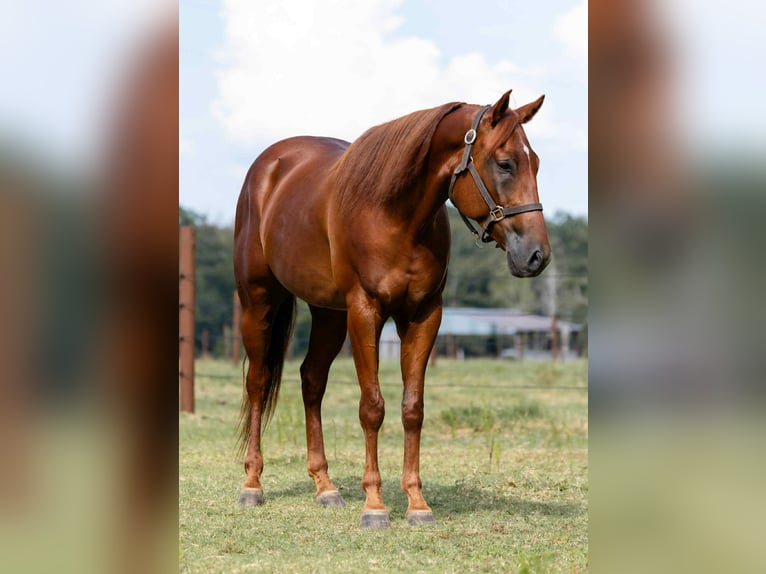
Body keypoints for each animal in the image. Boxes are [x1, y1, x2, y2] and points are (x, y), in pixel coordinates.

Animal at [233, 90, 551, 528]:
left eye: (535, 162)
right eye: (505, 163)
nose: (537, 256)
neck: (394, 214)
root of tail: (268, 166)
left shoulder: (423, 315)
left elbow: (412, 408)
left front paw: (417, 504)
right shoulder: (365, 312)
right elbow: (372, 407)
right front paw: (375, 506)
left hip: (328, 313)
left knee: (311, 380)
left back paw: (325, 487)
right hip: (259, 301)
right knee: (259, 383)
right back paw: (252, 485)